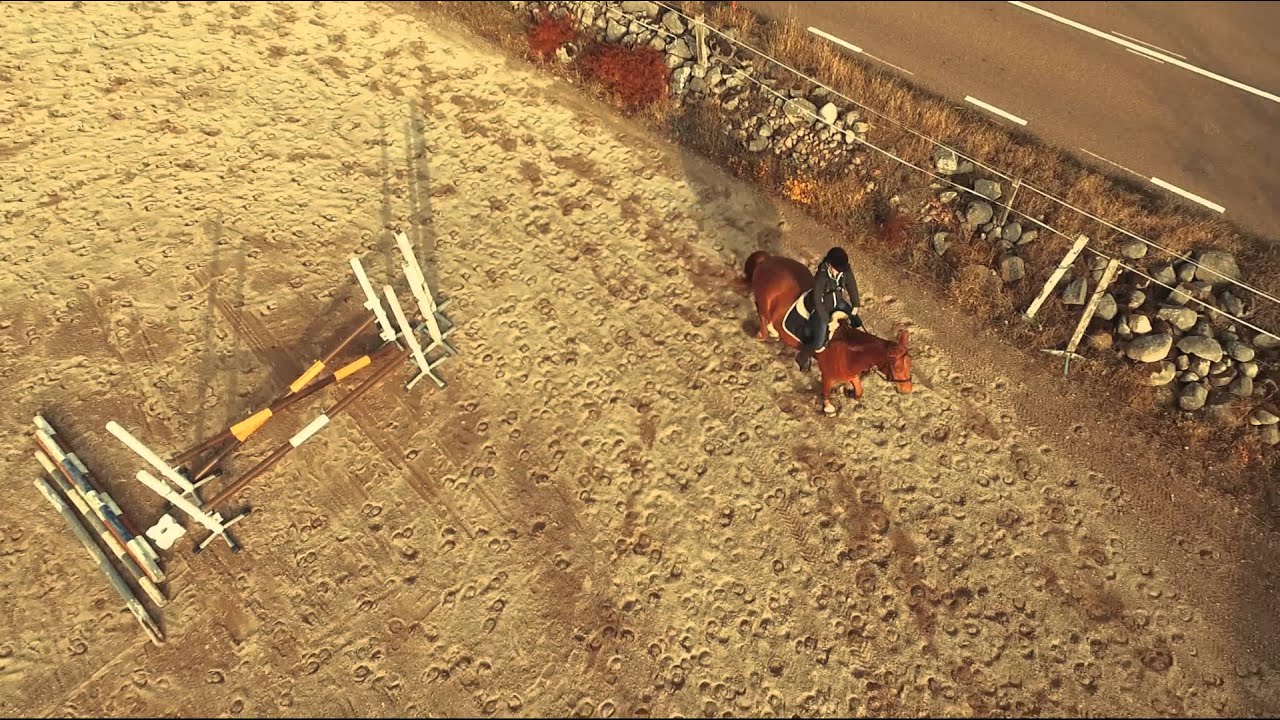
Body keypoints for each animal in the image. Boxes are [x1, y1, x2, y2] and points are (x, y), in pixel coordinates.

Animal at [743, 250, 914, 415]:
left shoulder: (851, 375)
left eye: (909, 364)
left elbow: (859, 390)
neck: (848, 352)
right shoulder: (828, 375)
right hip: (763, 301)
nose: (908, 389)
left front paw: (851, 394)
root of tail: (768, 259)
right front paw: (828, 408)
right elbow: (826, 391)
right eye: (898, 368)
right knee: (762, 315)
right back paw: (765, 334)